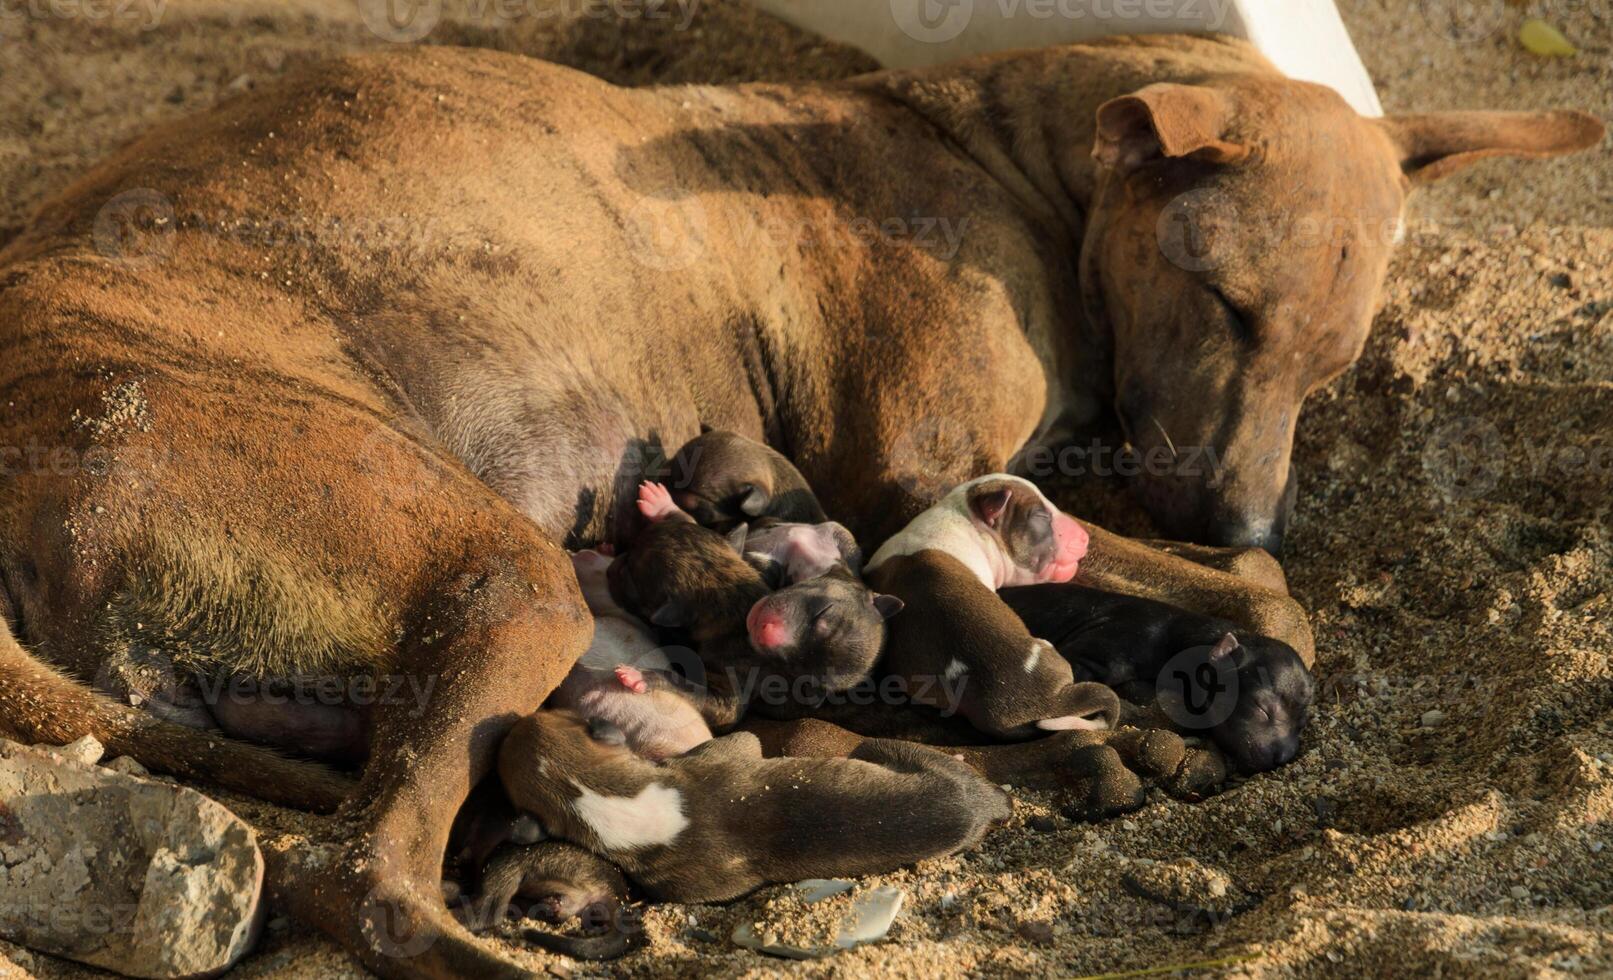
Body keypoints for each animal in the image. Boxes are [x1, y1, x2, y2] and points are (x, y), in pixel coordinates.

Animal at [496, 702, 1012, 902]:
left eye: (559, 712)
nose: (514, 722)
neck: (599, 795)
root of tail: (986, 801)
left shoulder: (726, 753)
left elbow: (739, 740)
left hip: (879, 748)